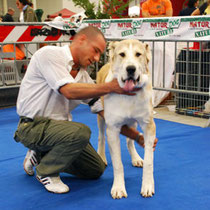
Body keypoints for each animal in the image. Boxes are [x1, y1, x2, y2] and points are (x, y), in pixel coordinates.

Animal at [97, 40, 156, 199]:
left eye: (138, 54)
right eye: (122, 54)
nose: (131, 69)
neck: (129, 95)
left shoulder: (149, 126)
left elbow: (149, 161)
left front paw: (147, 186)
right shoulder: (112, 129)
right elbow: (118, 164)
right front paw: (118, 188)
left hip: (133, 123)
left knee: (130, 141)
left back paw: (136, 158)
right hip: (101, 117)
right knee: (101, 137)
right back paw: (102, 156)